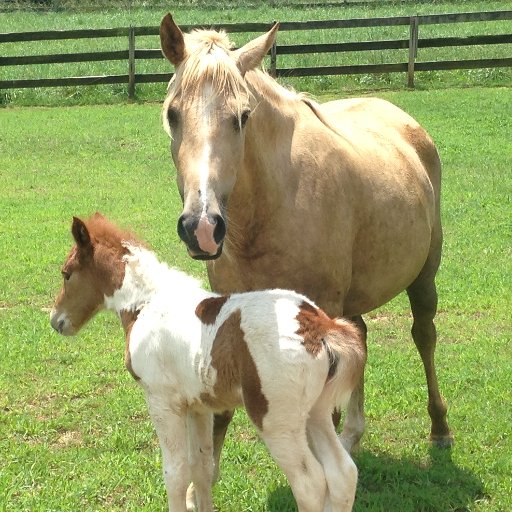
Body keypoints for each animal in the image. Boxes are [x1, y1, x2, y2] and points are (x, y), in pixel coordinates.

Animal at [50, 213, 366, 512]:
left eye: (66, 274)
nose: (56, 321)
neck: (146, 304)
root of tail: (319, 326)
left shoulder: (162, 402)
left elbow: (175, 473)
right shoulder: (197, 406)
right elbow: (201, 467)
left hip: (276, 421)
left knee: (310, 484)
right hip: (316, 411)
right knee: (343, 473)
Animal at [159, 8, 452, 480]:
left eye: (242, 117)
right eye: (173, 114)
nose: (202, 226)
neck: (271, 207)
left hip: (423, 276)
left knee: (424, 337)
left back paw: (439, 428)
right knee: (360, 337)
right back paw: (353, 434)